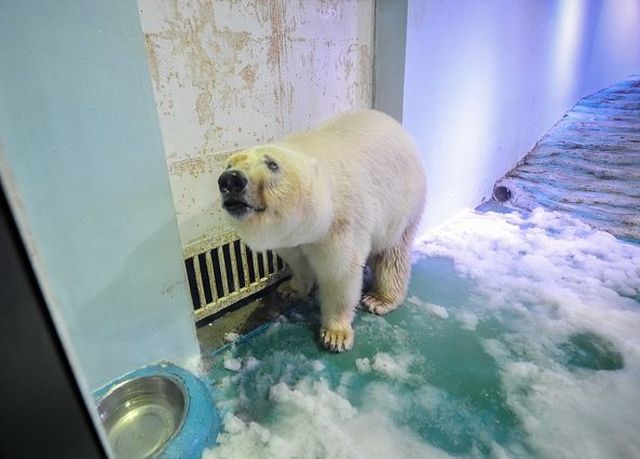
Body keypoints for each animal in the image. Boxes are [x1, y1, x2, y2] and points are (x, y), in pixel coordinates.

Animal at [218, 109, 426, 351]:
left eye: (272, 164)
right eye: (228, 165)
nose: (230, 180)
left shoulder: (340, 223)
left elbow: (339, 273)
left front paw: (335, 334)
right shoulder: (290, 237)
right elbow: (297, 260)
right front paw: (290, 289)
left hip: (400, 204)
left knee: (392, 254)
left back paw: (380, 299)